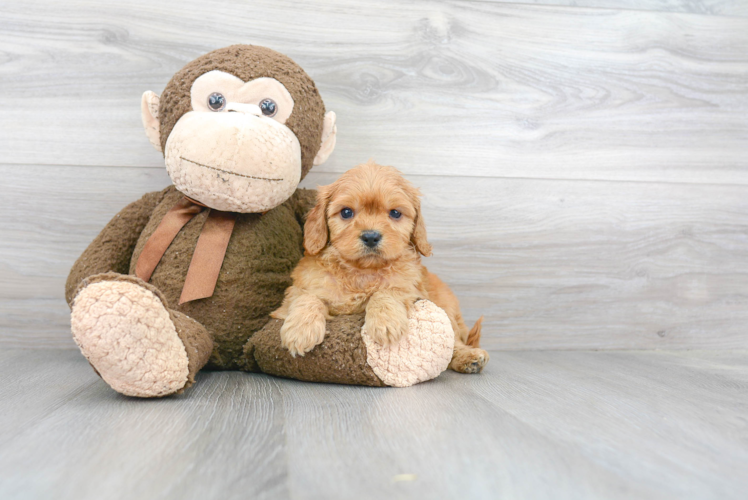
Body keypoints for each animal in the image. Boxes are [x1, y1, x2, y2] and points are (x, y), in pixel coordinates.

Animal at [274, 162, 490, 374]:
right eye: (346, 212)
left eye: (395, 213)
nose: (371, 236)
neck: (363, 271)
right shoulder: (298, 290)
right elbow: (306, 297)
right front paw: (301, 330)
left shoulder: (411, 288)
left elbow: (387, 291)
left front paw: (385, 323)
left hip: (446, 309)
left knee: (453, 341)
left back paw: (469, 357)